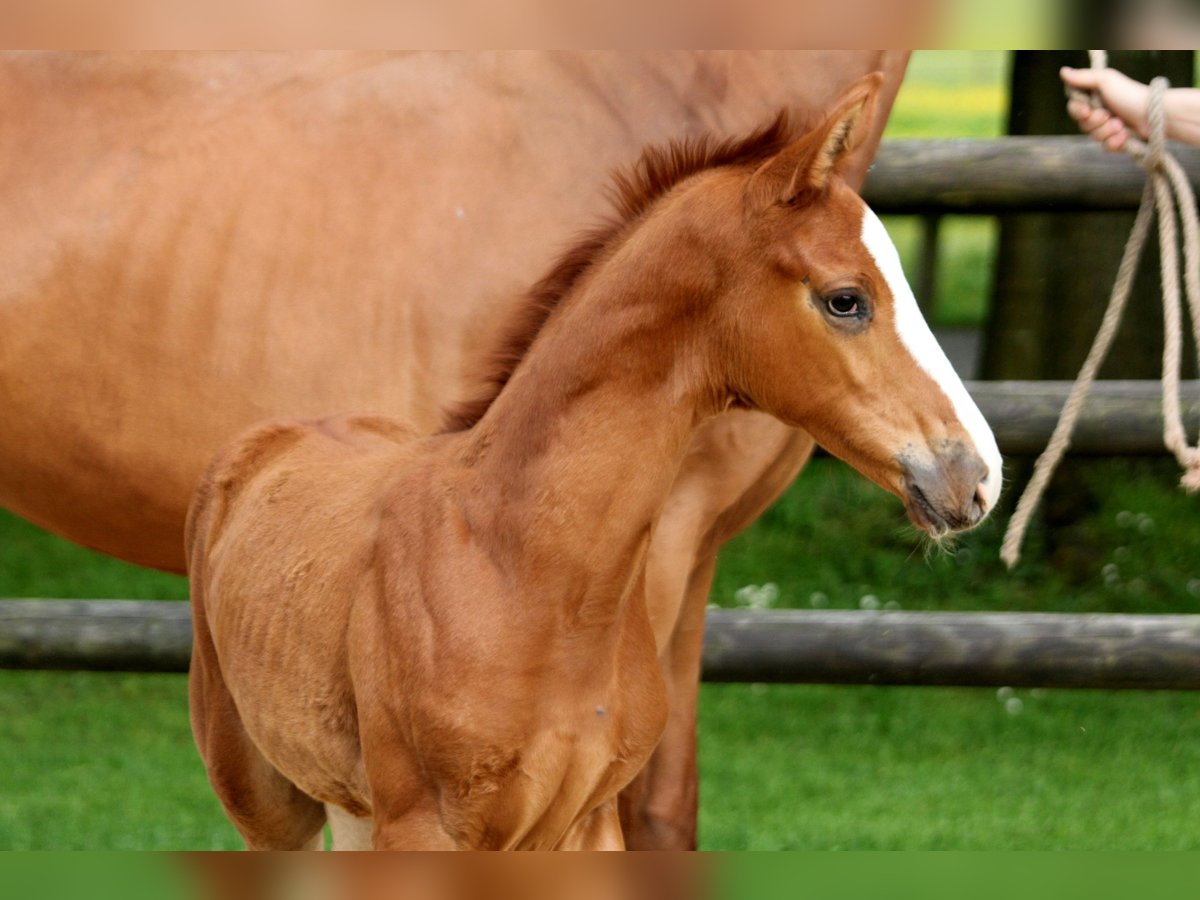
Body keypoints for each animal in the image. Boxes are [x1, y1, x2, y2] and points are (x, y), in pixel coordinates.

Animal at [187, 72, 998, 854]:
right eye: (845, 300)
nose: (978, 474)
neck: (527, 575)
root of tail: (270, 438)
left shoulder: (589, 821)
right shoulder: (424, 827)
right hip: (265, 799)